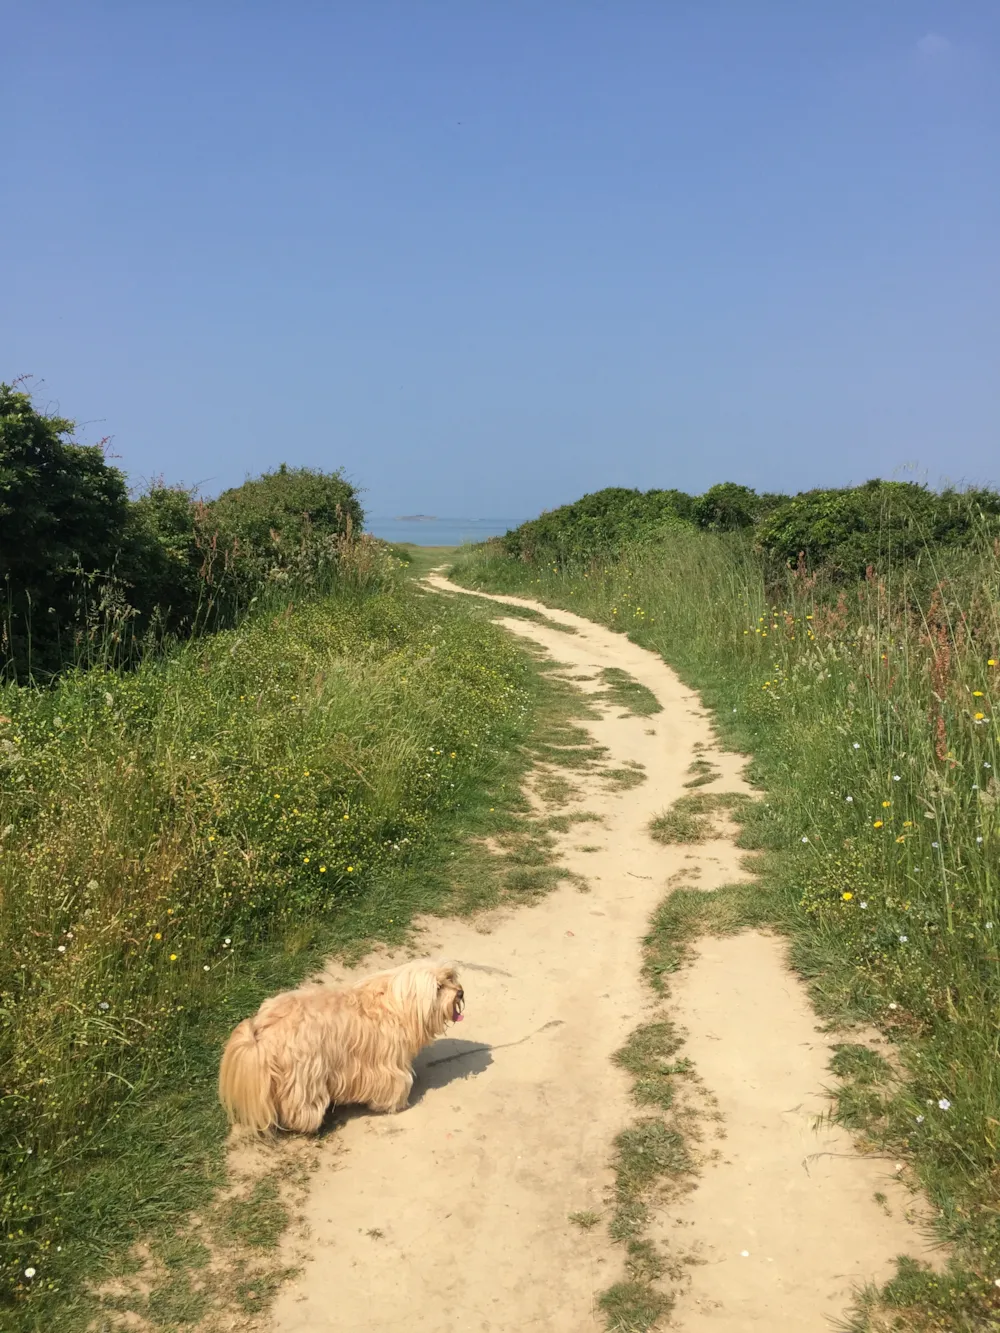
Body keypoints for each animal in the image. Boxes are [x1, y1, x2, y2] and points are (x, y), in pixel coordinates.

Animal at [218, 959, 466, 1135]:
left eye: (451, 977)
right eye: (438, 987)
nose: (461, 992)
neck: (398, 1006)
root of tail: (262, 1031)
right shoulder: (385, 1064)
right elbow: (396, 1083)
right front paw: (396, 1104)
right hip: (307, 1074)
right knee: (300, 1107)